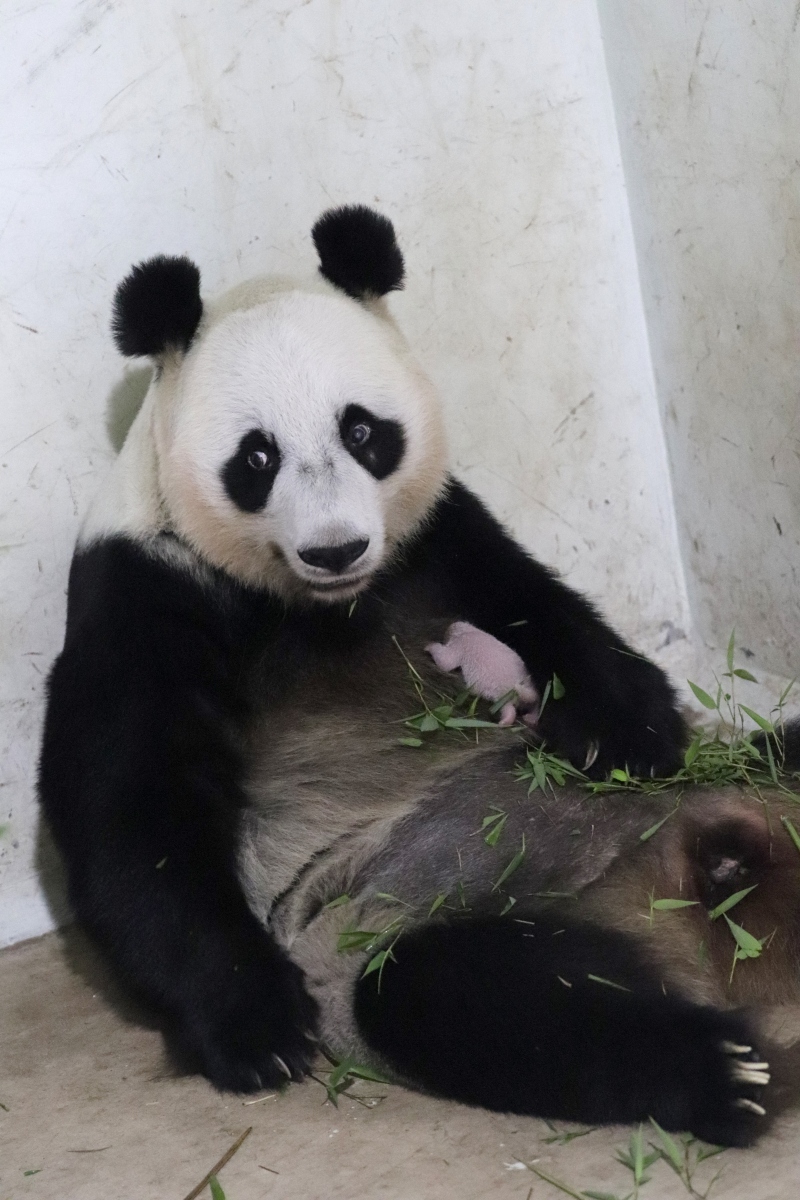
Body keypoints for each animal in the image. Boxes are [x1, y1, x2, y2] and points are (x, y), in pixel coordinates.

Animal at [39, 206, 800, 1148]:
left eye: (362, 431)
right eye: (256, 458)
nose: (335, 548)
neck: (319, 608)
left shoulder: (436, 539)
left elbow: (542, 609)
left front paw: (629, 734)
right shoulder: (144, 590)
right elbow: (132, 812)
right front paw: (258, 1029)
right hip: (398, 931)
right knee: (483, 1001)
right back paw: (722, 1072)